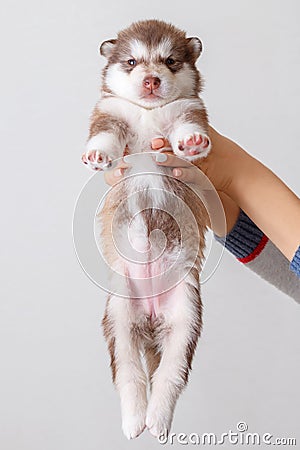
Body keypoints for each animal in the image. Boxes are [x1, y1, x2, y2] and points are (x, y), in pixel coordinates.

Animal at [82, 20, 211, 440]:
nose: (152, 80)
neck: (147, 114)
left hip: (187, 316)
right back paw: (134, 420)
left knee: (170, 376)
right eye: (131, 62)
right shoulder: (109, 114)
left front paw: (192, 142)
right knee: (129, 375)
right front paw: (97, 154)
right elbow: (106, 135)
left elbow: (187, 128)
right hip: (118, 317)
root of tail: (152, 318)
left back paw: (157, 420)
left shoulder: (189, 111)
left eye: (170, 61)